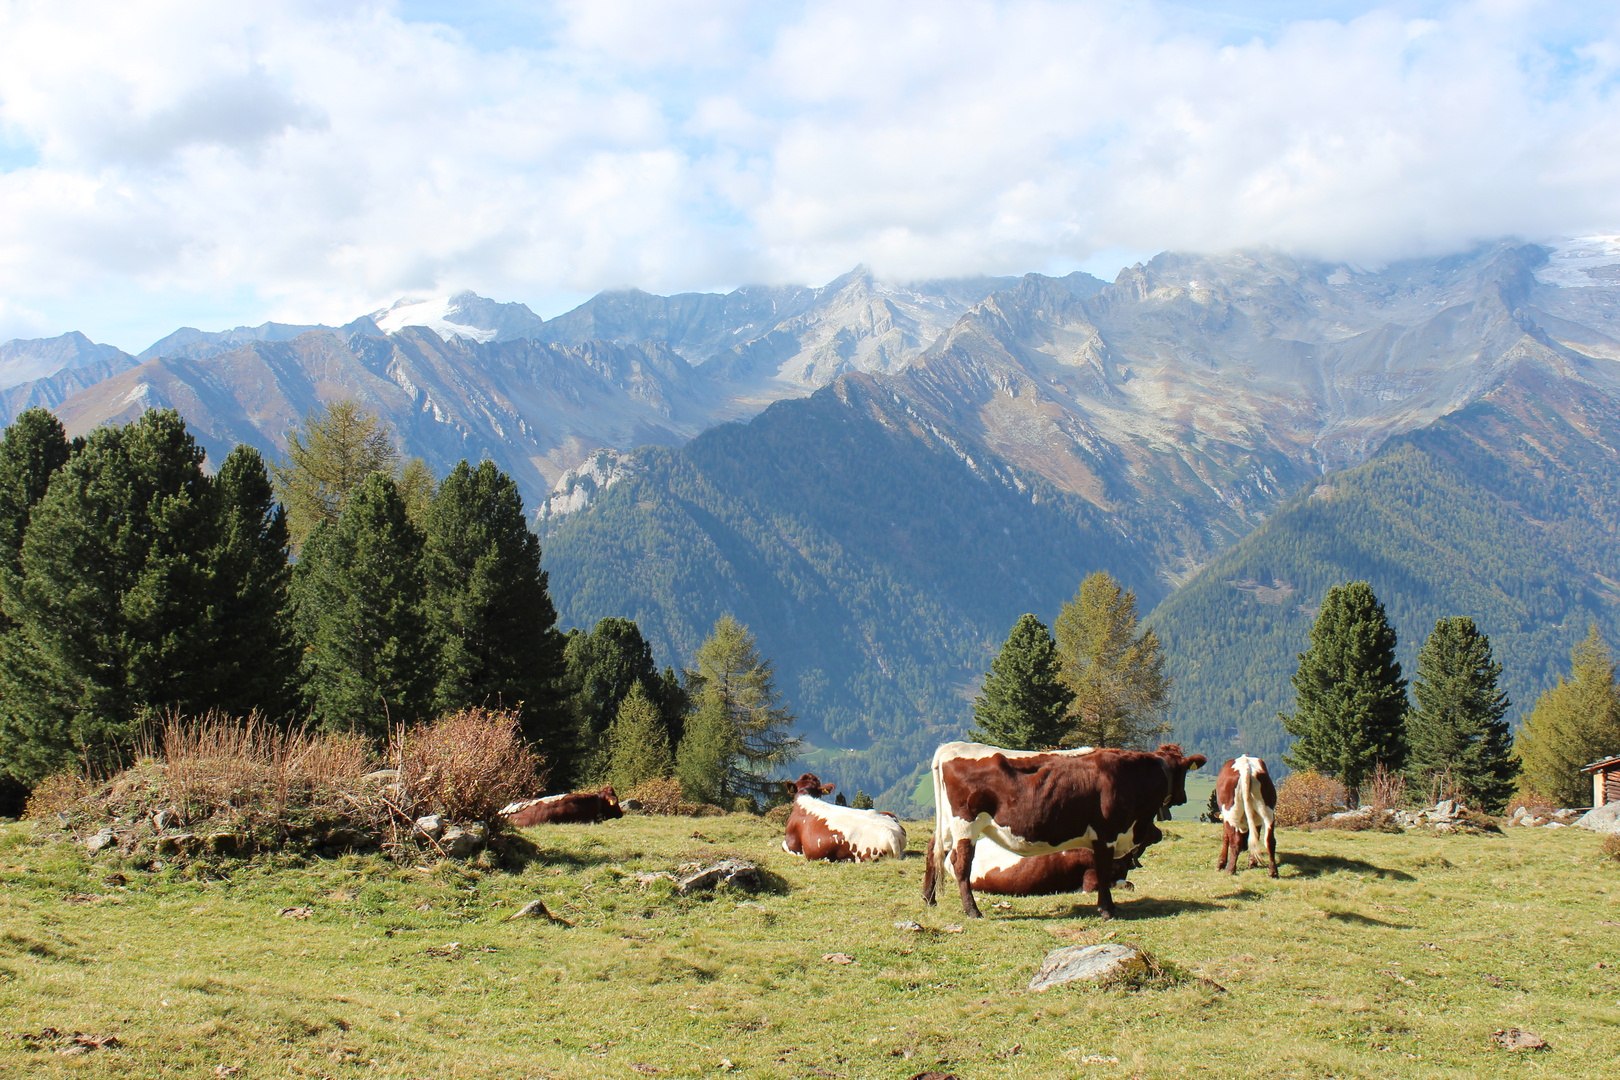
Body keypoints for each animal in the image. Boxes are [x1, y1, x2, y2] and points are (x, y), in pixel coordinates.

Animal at [926, 744, 1205, 919]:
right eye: (1184, 772)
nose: (1183, 798)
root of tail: (953, 747)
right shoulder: (1106, 834)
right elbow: (1103, 872)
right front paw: (1107, 910)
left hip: (948, 824)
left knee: (933, 849)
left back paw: (929, 898)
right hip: (966, 824)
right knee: (961, 864)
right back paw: (972, 911)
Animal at [1218, 751, 1276, 880]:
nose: (1244, 848)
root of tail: (1246, 766)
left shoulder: (1225, 817)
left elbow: (1226, 837)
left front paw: (1221, 863)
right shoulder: (1257, 820)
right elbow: (1256, 836)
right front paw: (1252, 861)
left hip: (1231, 812)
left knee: (1235, 841)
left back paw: (1230, 869)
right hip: (1267, 811)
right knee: (1270, 840)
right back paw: (1273, 871)